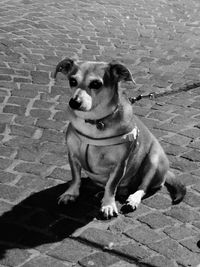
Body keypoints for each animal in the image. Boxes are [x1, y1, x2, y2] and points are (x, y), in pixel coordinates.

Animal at [52, 57, 186, 219]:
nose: (74, 102)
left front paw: (108, 204)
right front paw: (71, 193)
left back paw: (132, 199)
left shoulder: (120, 164)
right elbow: (75, 178)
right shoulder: (72, 155)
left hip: (154, 159)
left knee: (143, 187)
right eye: (72, 81)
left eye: (96, 84)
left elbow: (111, 185)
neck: (94, 122)